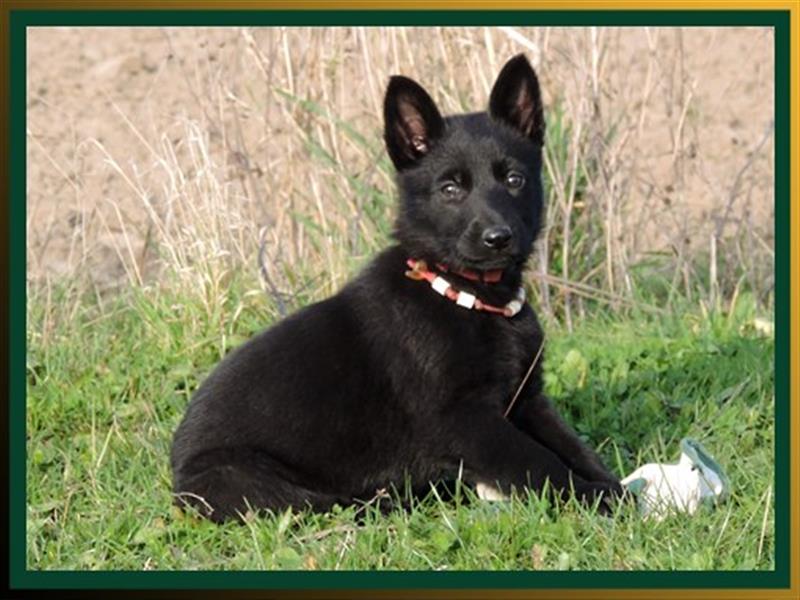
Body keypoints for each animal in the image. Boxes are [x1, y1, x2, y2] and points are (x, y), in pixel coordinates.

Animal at [170, 57, 624, 524]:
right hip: (246, 478)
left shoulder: (526, 400)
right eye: (450, 189)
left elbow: (573, 446)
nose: (498, 238)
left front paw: (613, 486)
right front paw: (594, 497)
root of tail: (177, 472)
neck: (471, 298)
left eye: (514, 179)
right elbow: (538, 461)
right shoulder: (463, 418)